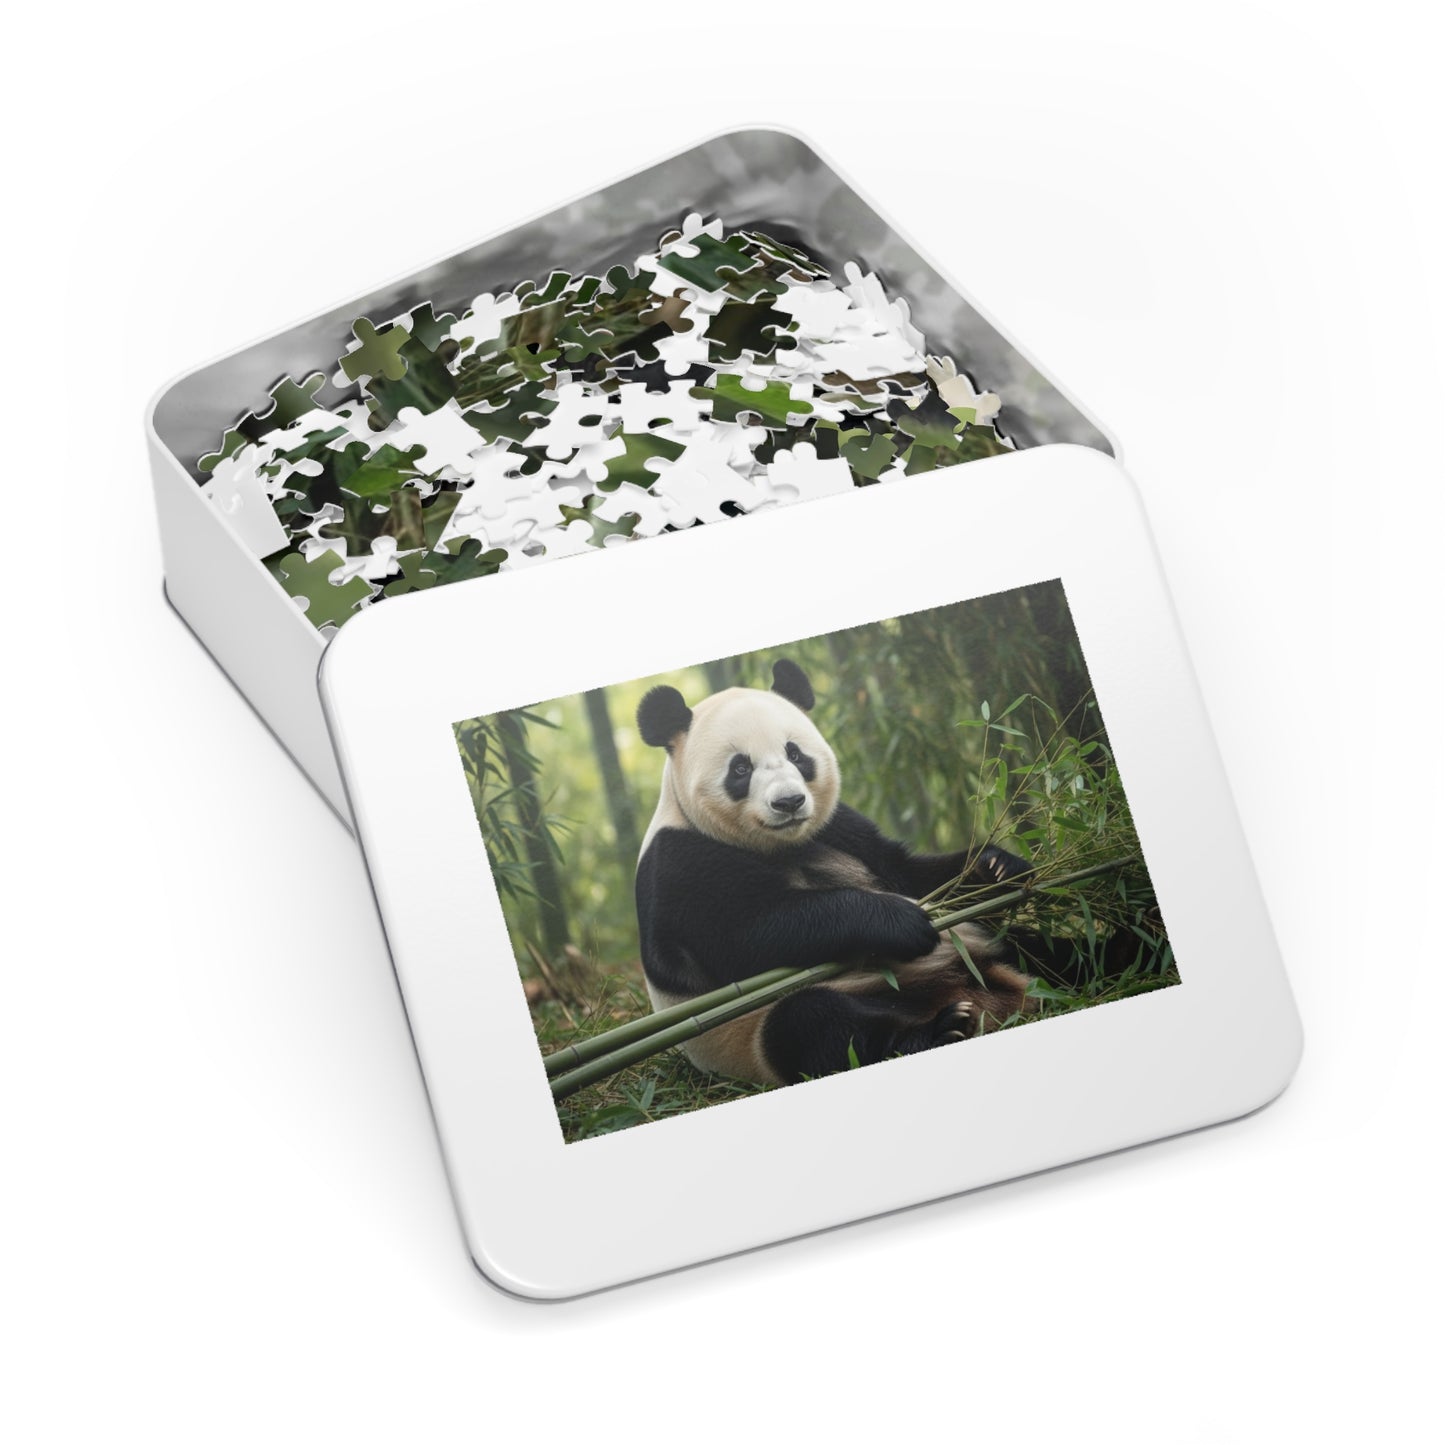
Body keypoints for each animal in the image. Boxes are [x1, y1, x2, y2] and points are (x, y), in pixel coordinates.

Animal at [634, 658, 1068, 1087]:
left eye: (795, 754)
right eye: (740, 768)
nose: (789, 802)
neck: (781, 844)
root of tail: (995, 999)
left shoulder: (839, 828)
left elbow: (909, 873)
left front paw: (996, 867)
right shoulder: (679, 862)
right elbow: (747, 932)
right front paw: (901, 921)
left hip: (988, 949)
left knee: (1043, 949)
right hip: (754, 1031)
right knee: (813, 1025)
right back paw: (940, 1029)